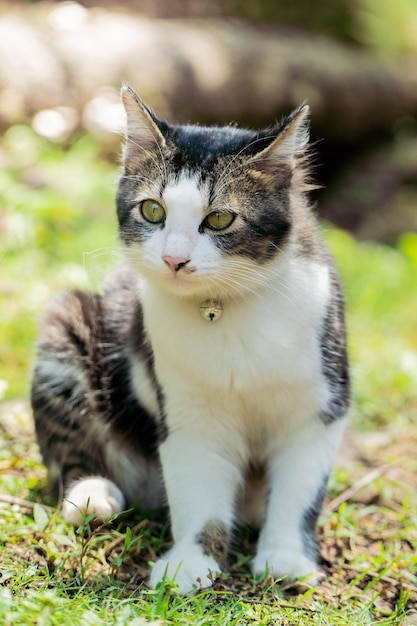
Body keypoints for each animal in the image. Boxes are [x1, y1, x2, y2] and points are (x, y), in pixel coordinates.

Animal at [31, 83, 348, 588]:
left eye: (219, 219)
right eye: (152, 210)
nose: (174, 259)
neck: (224, 309)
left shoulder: (319, 405)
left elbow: (298, 491)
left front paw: (285, 556)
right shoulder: (187, 411)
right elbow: (200, 488)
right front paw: (192, 562)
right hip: (64, 322)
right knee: (68, 445)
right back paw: (93, 494)